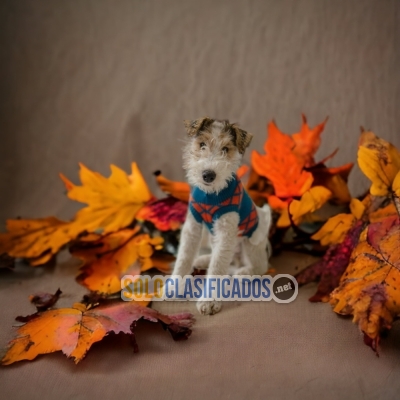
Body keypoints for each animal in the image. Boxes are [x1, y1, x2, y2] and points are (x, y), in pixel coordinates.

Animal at [172, 117, 272, 314]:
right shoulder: (192, 226)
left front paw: (209, 301)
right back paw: (202, 260)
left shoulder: (226, 229)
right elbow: (184, 256)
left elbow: (217, 267)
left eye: (225, 149)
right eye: (202, 144)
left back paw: (244, 274)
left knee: (260, 266)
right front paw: (172, 287)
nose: (208, 175)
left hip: (251, 241)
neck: (210, 195)